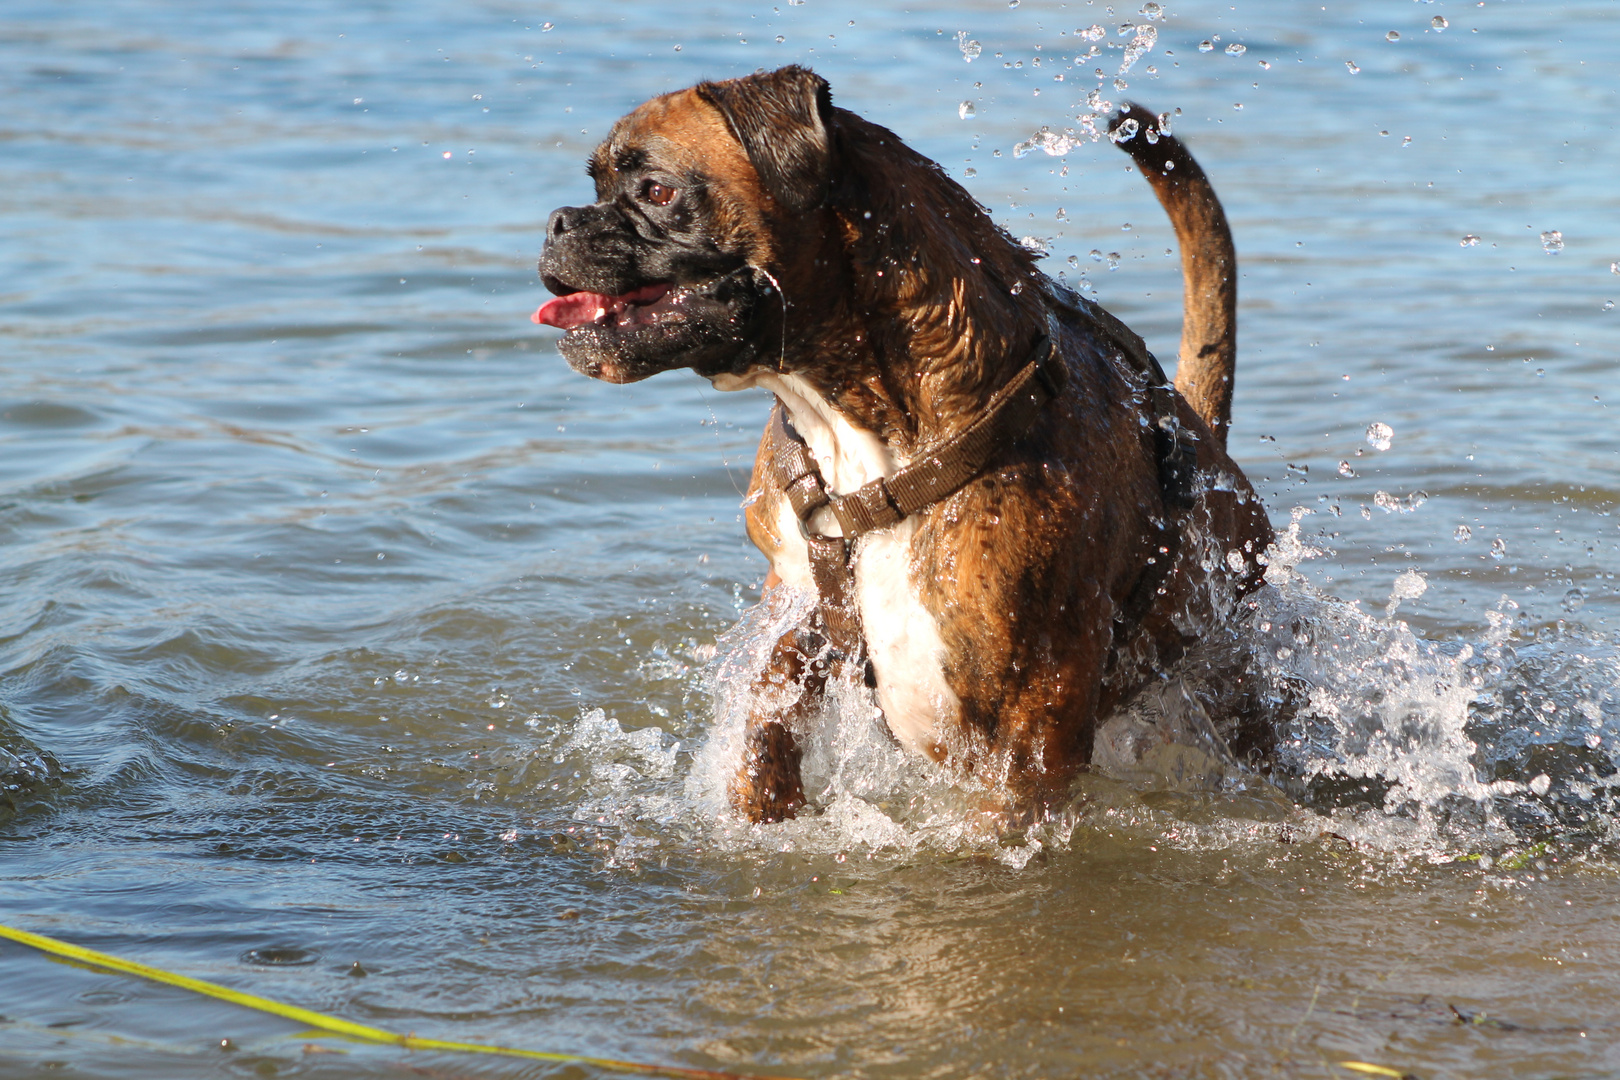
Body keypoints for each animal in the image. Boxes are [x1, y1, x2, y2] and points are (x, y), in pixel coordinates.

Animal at [537, 67, 1270, 822]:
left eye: (658, 191)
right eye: (596, 186)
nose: (558, 221)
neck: (865, 433)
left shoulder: (1032, 733)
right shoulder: (799, 599)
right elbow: (775, 684)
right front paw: (764, 790)